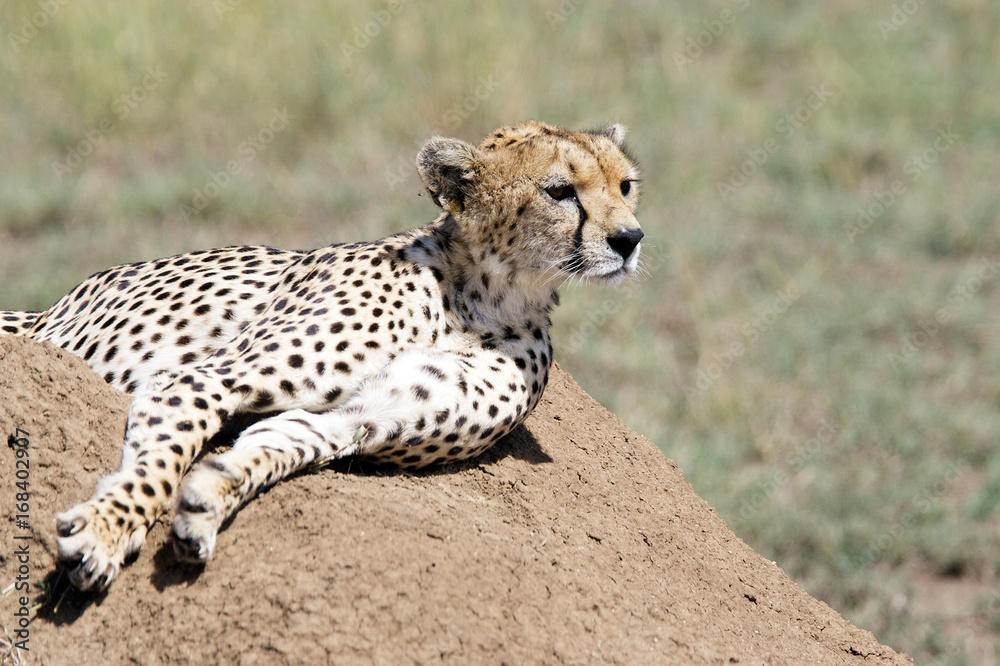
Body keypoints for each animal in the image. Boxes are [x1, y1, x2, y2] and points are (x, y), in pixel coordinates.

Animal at [0, 120, 643, 591]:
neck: (485, 297)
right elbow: (160, 462)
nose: (630, 239)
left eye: (626, 186)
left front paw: (207, 499)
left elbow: (278, 444)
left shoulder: (360, 418)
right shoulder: (204, 377)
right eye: (560, 191)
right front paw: (107, 530)